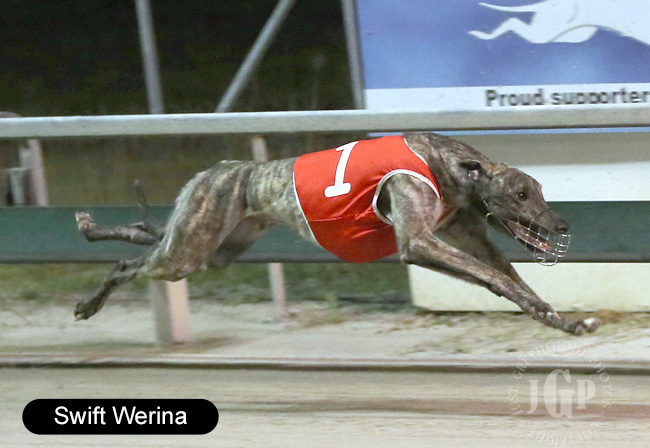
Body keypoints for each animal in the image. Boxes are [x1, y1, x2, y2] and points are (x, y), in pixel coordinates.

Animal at [74, 132, 599, 335]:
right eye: (522, 194)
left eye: (540, 191)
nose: (563, 225)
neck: (447, 165)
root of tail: (218, 170)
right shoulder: (419, 241)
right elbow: (494, 277)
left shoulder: (468, 230)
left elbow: (512, 279)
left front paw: (566, 321)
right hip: (188, 249)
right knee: (129, 264)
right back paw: (88, 302)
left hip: (213, 248)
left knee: (143, 236)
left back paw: (94, 228)